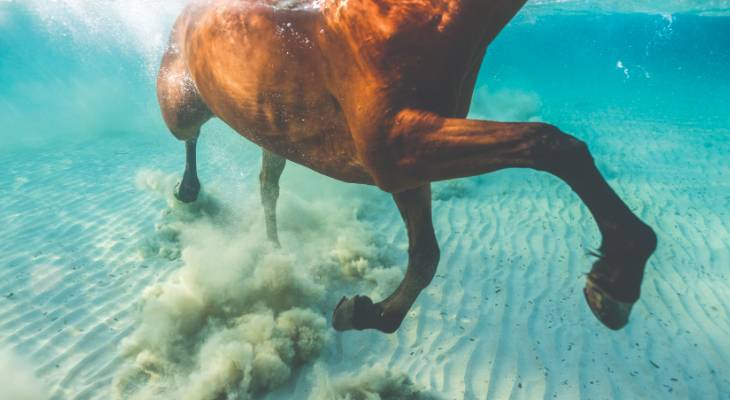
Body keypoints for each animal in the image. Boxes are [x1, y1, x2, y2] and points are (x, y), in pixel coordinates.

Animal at [158, 0, 656, 334]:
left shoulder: (410, 164)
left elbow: (426, 256)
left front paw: (367, 312)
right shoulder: (395, 148)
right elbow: (550, 144)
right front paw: (619, 271)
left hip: (272, 130)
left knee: (268, 184)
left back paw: (275, 250)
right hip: (181, 103)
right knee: (190, 136)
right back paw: (189, 190)